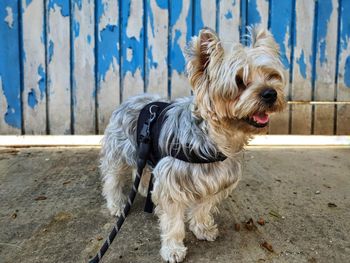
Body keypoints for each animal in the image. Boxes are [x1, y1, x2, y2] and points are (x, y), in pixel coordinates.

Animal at [100, 26, 286, 262]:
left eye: (272, 76)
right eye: (239, 80)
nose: (271, 93)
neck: (213, 136)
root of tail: (131, 98)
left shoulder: (216, 181)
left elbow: (202, 208)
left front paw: (202, 228)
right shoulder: (172, 183)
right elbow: (173, 222)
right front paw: (173, 249)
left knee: (142, 169)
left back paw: (142, 188)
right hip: (118, 151)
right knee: (112, 179)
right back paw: (116, 204)